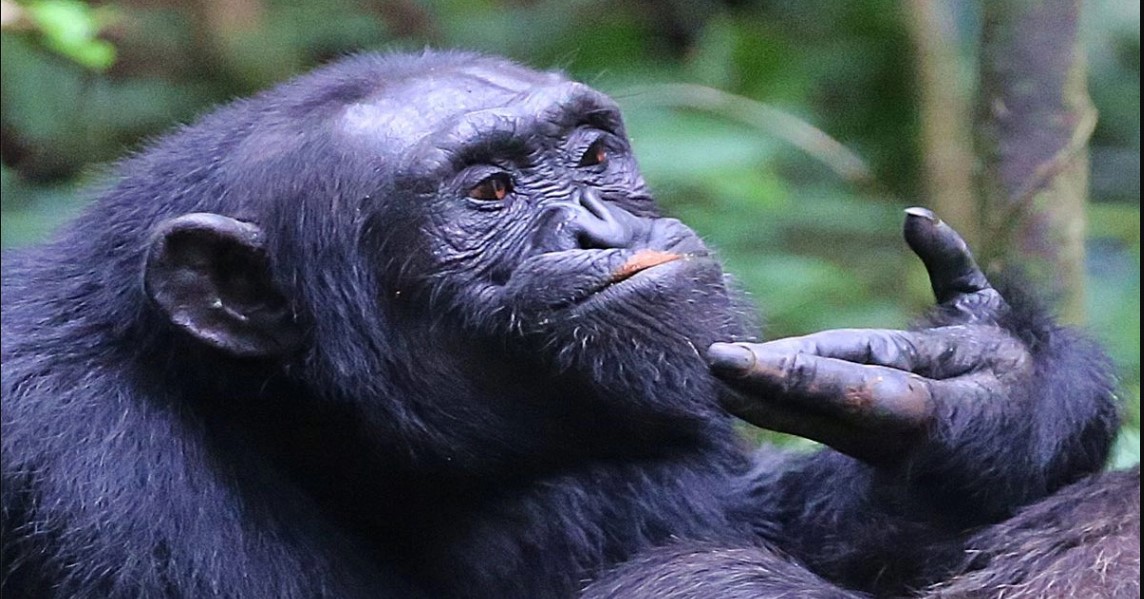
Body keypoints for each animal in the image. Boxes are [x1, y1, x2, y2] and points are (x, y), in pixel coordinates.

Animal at [0, 49, 1125, 594]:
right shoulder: (81, 465)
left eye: (590, 155)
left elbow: (755, 518)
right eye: (491, 192)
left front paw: (984, 386)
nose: (598, 220)